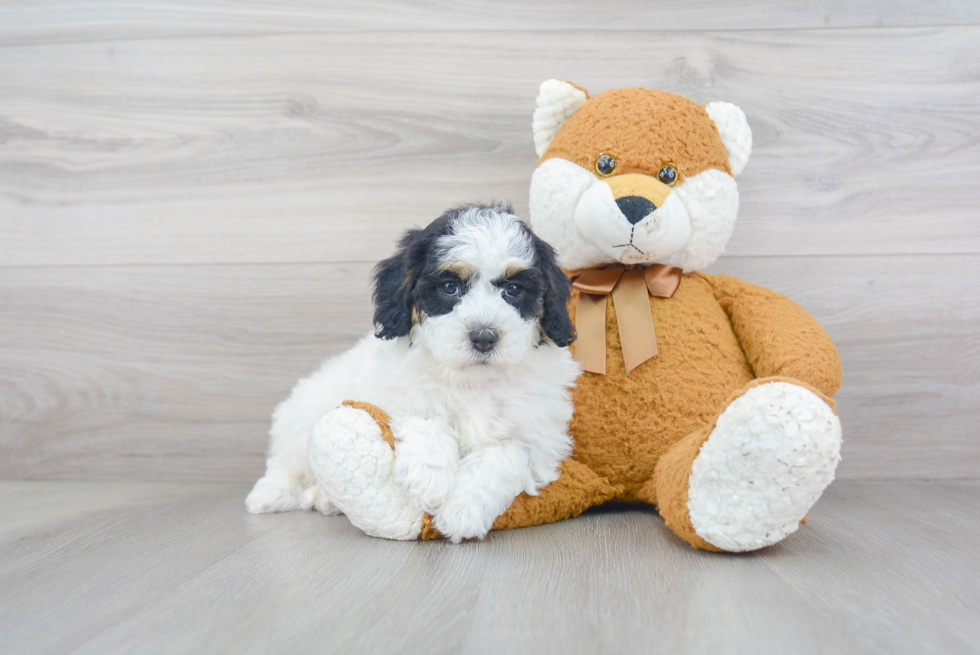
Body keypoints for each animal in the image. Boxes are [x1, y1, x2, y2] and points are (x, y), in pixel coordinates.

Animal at [247, 205, 580, 544]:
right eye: (449, 287)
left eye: (513, 290)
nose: (484, 337)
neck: (473, 381)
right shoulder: (394, 390)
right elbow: (425, 416)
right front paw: (429, 477)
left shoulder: (540, 434)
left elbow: (505, 454)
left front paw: (463, 510)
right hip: (306, 409)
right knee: (288, 461)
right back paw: (270, 494)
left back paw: (324, 499)